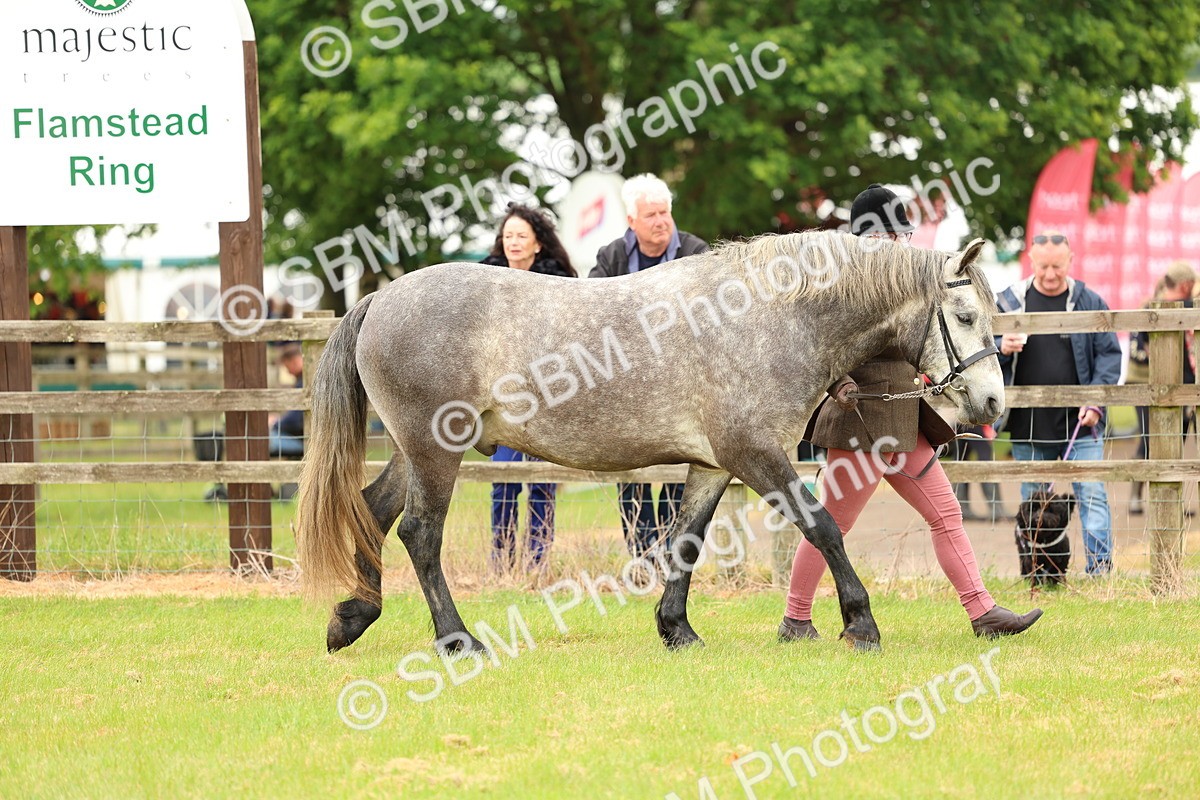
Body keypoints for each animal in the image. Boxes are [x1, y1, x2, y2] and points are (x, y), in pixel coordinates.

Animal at [297, 231, 1004, 654]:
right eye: (966, 316)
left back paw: (349, 618)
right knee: (419, 532)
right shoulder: (756, 454)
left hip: (417, 450)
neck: (769, 318)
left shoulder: (713, 464)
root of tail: (381, 297)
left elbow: (685, 541)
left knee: (373, 510)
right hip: (435, 450)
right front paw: (860, 623)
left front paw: (676, 629)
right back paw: (456, 640)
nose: (994, 402)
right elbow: (823, 527)